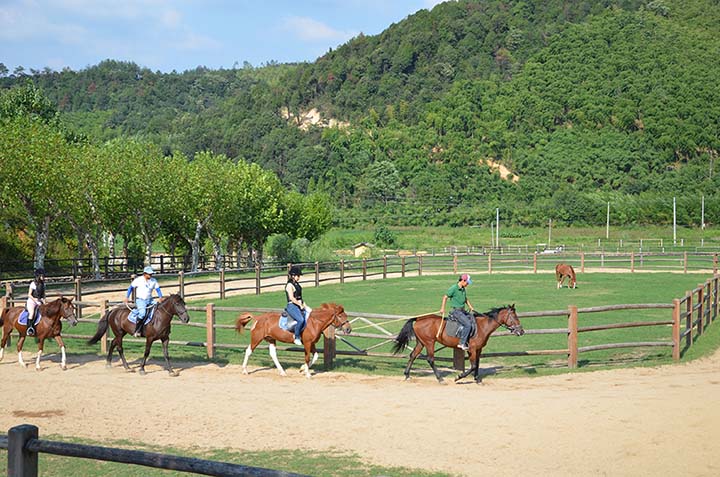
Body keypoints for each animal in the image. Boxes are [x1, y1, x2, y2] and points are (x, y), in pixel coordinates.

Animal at [394, 304, 524, 384]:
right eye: (514, 317)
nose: (521, 331)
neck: (482, 327)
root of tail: (418, 319)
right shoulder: (472, 349)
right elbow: (473, 366)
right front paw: (459, 377)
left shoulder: (478, 349)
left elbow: (477, 364)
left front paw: (477, 379)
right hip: (429, 342)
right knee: (430, 359)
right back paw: (440, 379)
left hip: (421, 342)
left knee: (413, 355)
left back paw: (407, 375)